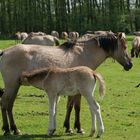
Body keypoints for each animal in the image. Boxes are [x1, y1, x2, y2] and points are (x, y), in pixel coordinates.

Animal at [0, 32, 132, 135]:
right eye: (125, 47)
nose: (130, 65)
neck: (83, 53)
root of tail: (4, 52)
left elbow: (69, 106)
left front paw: (68, 127)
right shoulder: (78, 91)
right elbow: (76, 107)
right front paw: (78, 128)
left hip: (15, 86)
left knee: (9, 105)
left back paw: (13, 129)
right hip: (12, 86)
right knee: (5, 103)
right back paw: (8, 129)